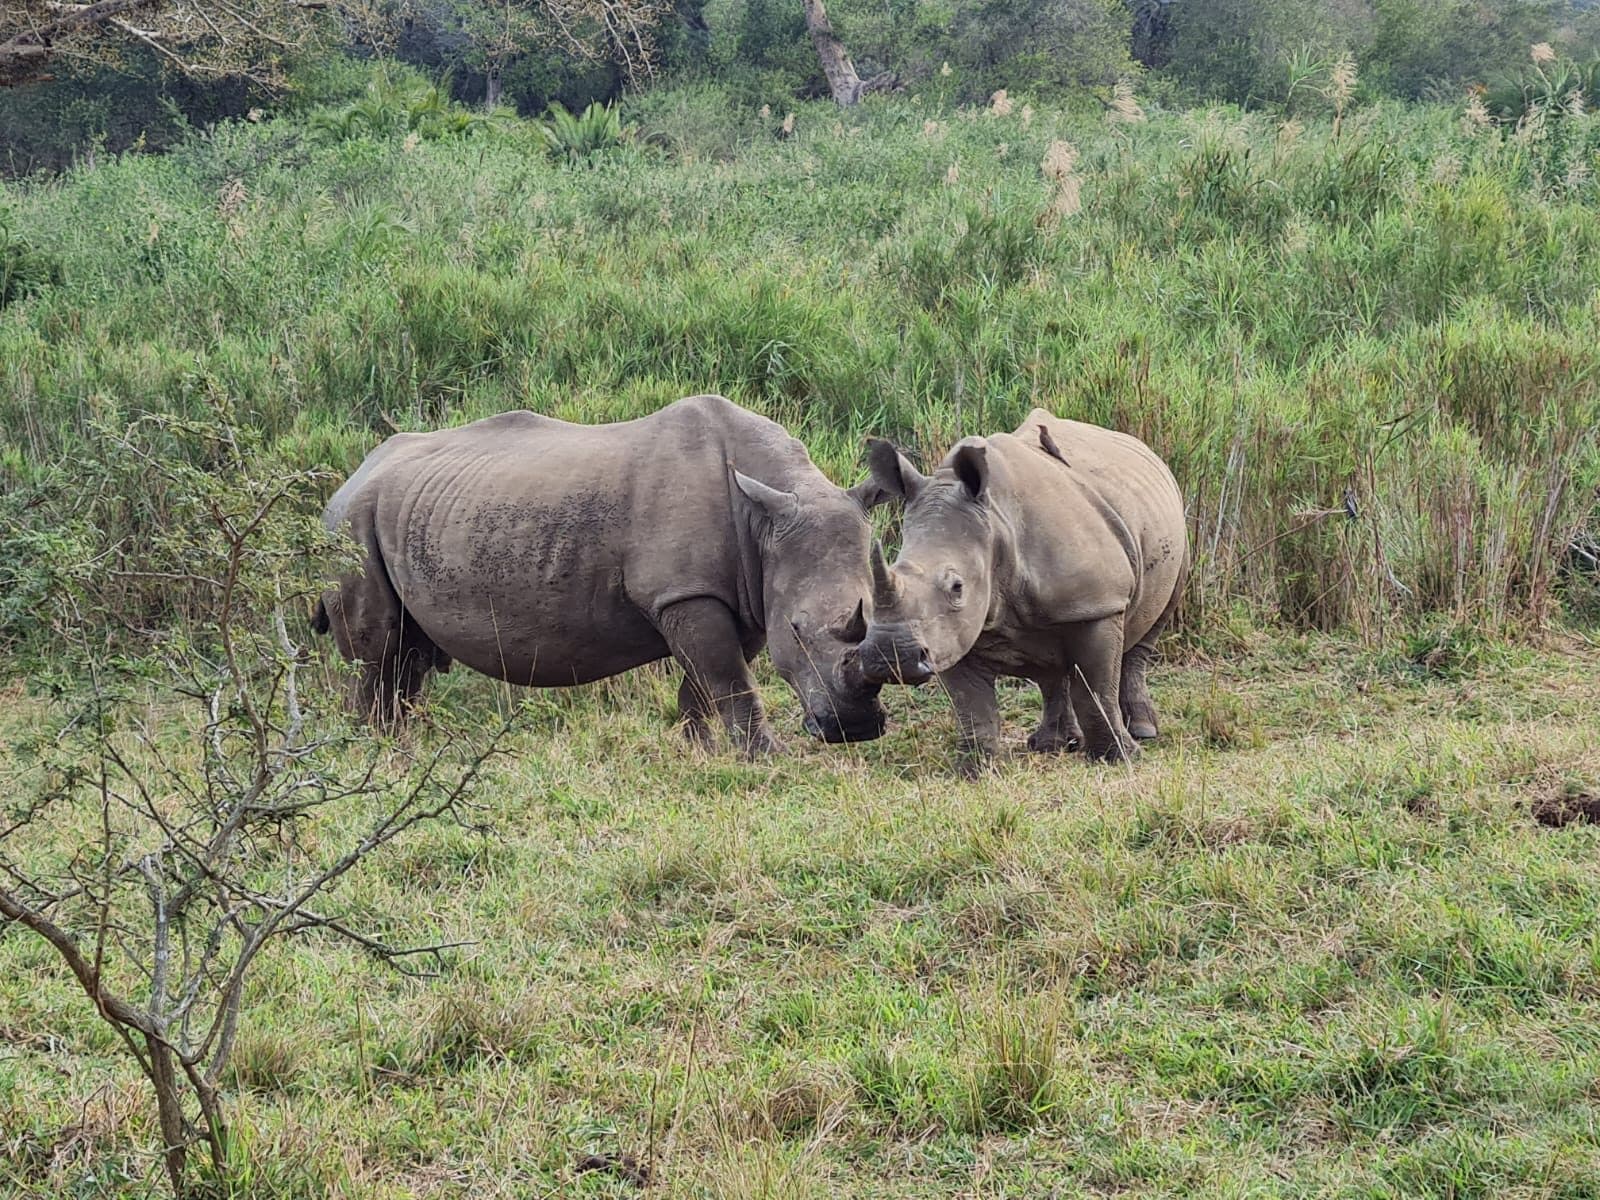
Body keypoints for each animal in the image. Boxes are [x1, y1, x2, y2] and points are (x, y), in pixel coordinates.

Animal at [311, 395, 888, 751]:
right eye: (797, 629)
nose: (854, 729)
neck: (767, 512)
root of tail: (350, 479)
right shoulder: (685, 593)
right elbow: (730, 682)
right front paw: (764, 757)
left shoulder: (739, 595)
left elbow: (705, 686)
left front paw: (698, 752)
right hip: (353, 525)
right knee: (380, 654)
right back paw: (377, 755)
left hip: (405, 512)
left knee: (405, 657)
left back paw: (395, 752)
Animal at [855, 409, 1188, 769]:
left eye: (957, 587)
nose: (890, 656)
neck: (996, 526)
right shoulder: (949, 634)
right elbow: (971, 706)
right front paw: (973, 769)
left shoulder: (1098, 603)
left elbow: (1096, 689)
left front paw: (1118, 758)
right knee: (1051, 666)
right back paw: (1052, 744)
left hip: (1173, 530)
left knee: (1150, 630)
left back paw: (1142, 731)